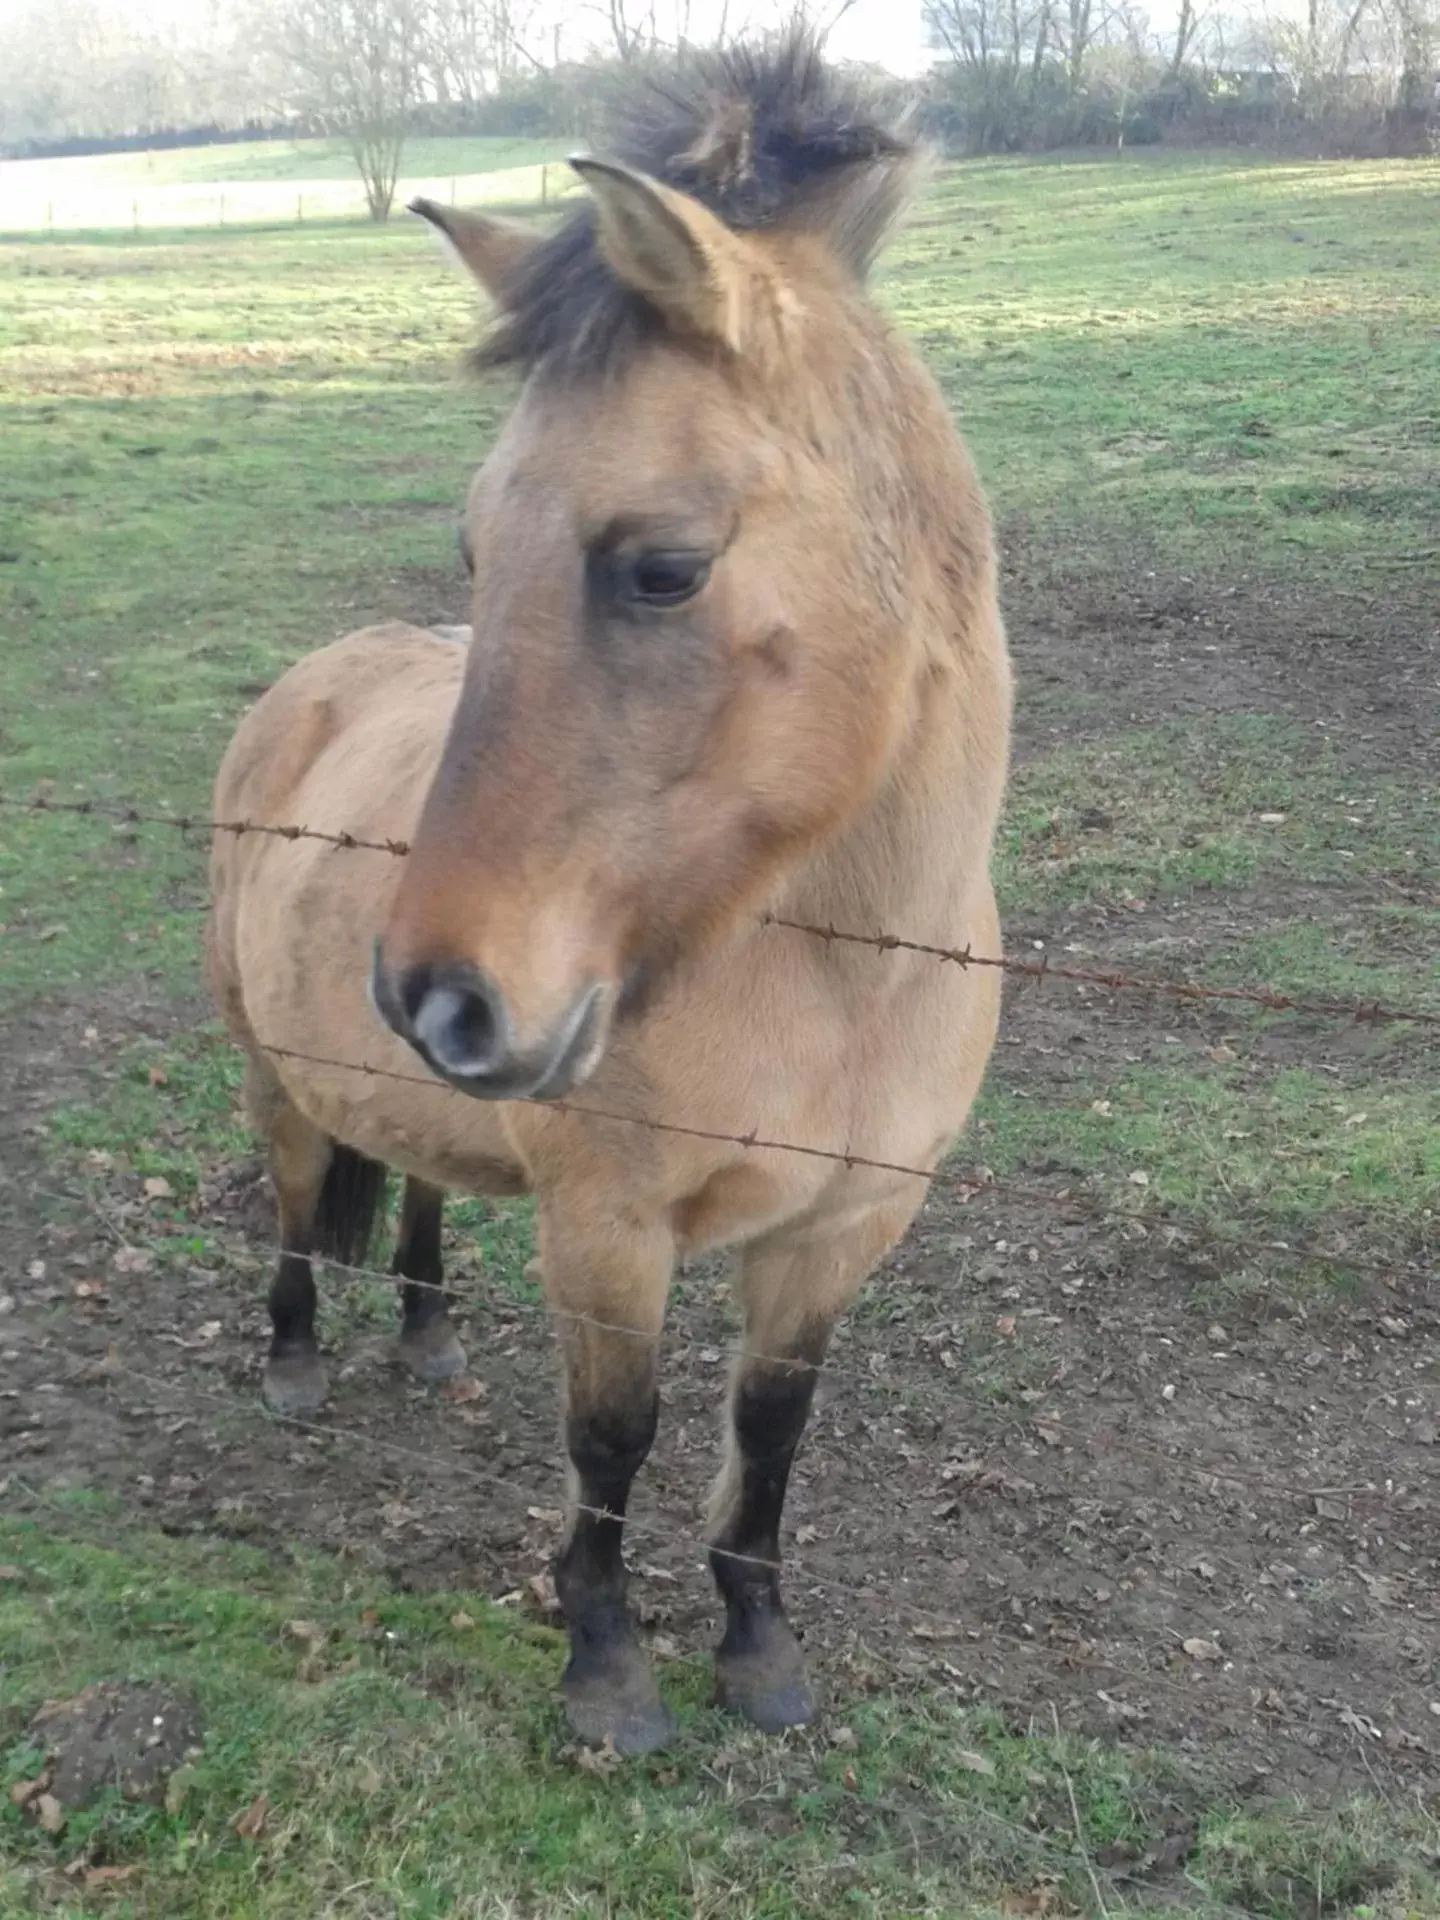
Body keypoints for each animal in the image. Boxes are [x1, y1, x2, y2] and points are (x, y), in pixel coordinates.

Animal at [205, 37, 1013, 1758]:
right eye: (473, 547)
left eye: (661, 567)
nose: (435, 992)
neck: (839, 972)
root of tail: (309, 681)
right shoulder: (610, 1229)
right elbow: (614, 1437)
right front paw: (606, 1666)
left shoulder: (843, 1231)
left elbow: (768, 1434)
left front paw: (760, 1650)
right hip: (270, 1063)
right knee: (303, 1193)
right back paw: (298, 1360)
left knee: (417, 1183)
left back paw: (426, 1336)